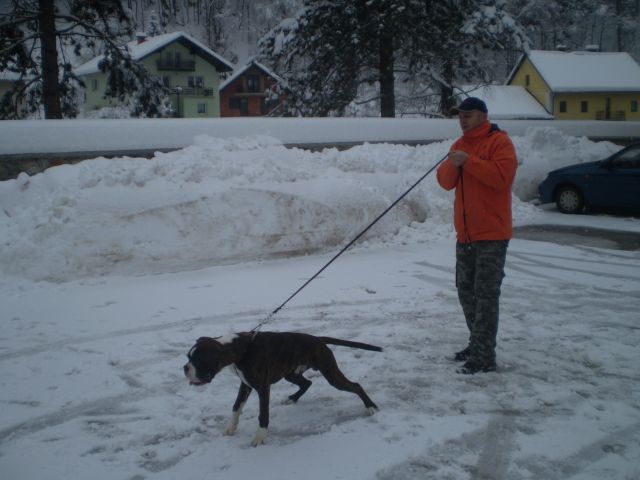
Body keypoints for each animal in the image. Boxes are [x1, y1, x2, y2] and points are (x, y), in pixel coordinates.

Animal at [182, 332, 382, 444]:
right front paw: (231, 427)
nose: (185, 368)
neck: (241, 349)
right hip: (291, 373)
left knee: (355, 385)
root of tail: (318, 339)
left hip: (331, 375)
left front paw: (260, 437)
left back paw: (370, 406)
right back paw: (292, 398)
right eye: (188, 357)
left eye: (198, 361)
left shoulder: (262, 388)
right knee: (307, 383)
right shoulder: (245, 385)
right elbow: (236, 406)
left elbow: (263, 414)